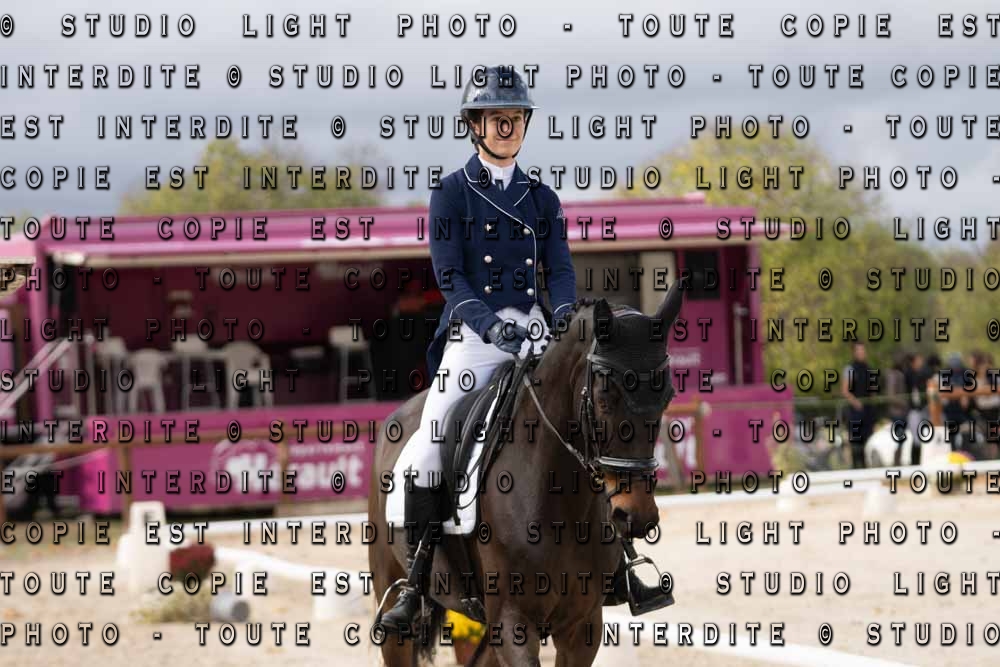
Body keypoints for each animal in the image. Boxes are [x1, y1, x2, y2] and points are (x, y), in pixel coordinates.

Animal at [368, 283, 683, 666]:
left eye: (667, 397)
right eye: (604, 398)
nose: (636, 516)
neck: (557, 496)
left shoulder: (582, 625)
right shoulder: (511, 621)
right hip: (394, 604)